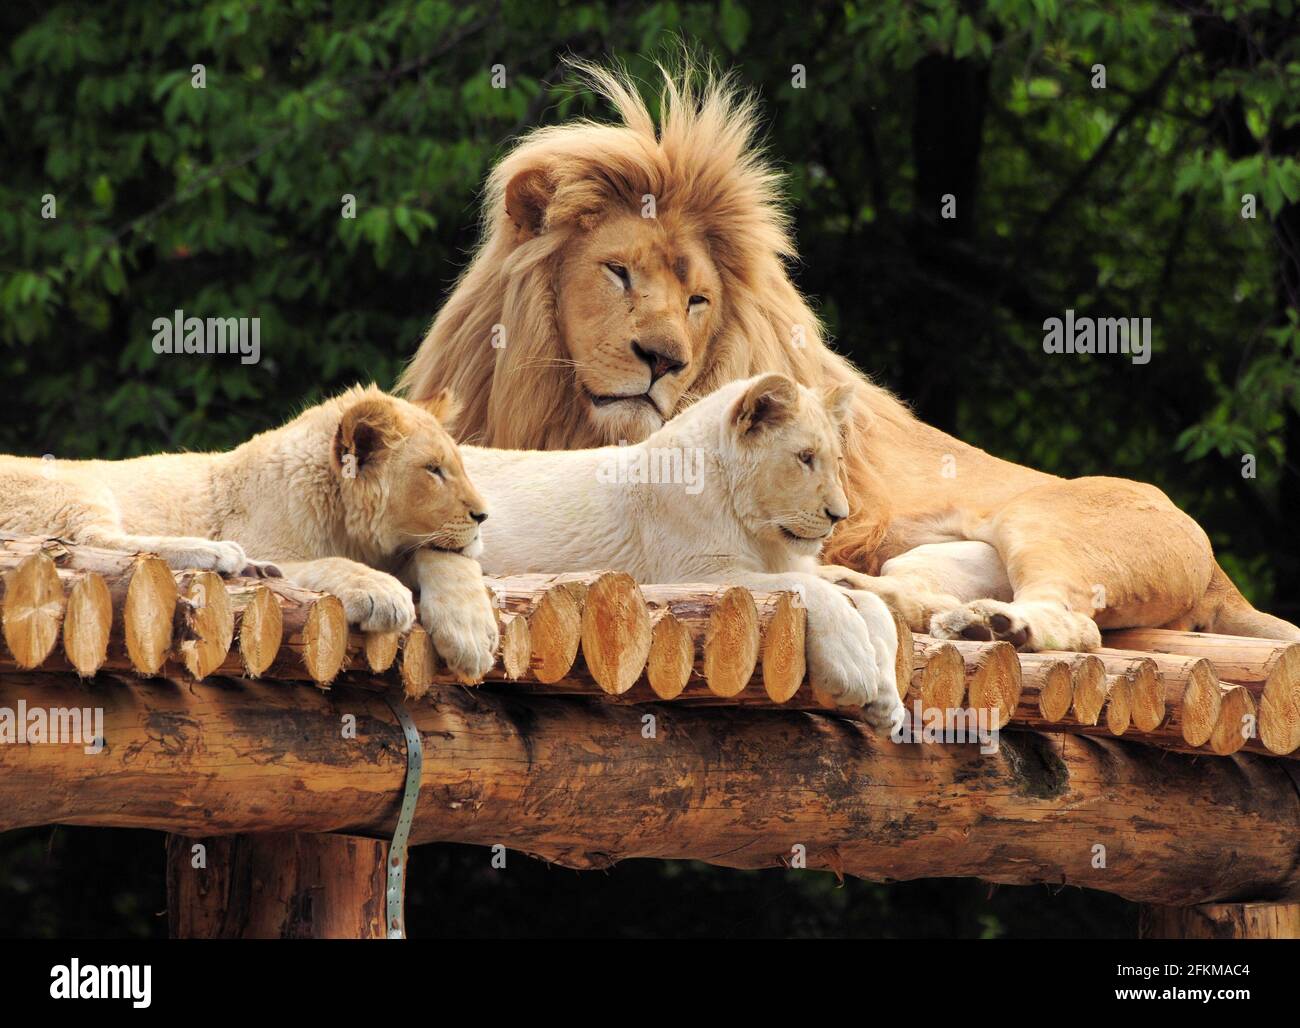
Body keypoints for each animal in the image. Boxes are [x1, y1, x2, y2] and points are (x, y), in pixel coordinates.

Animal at [400, 62, 1294, 652]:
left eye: (698, 303)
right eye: (618, 273)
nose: (662, 360)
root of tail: (1218, 568)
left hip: (1043, 520)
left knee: (1071, 622)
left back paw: (994, 622)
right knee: (906, 590)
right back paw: (907, 601)